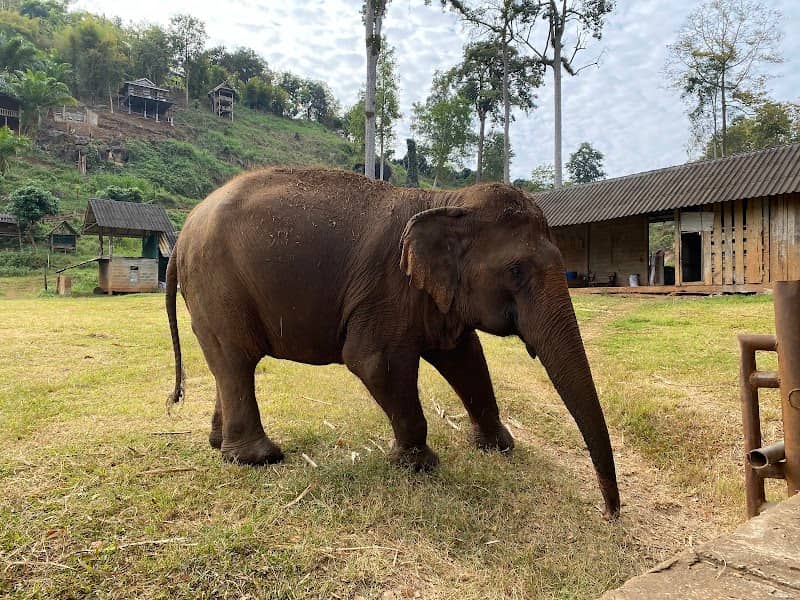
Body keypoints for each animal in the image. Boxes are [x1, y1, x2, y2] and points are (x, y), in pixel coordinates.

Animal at [165, 167, 620, 520]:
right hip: (218, 285)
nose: (609, 513)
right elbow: (374, 362)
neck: (447, 201)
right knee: (237, 359)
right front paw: (420, 465)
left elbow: (467, 358)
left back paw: (219, 444)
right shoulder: (388, 287)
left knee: (225, 364)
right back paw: (260, 458)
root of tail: (182, 234)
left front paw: (498, 447)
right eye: (516, 271)